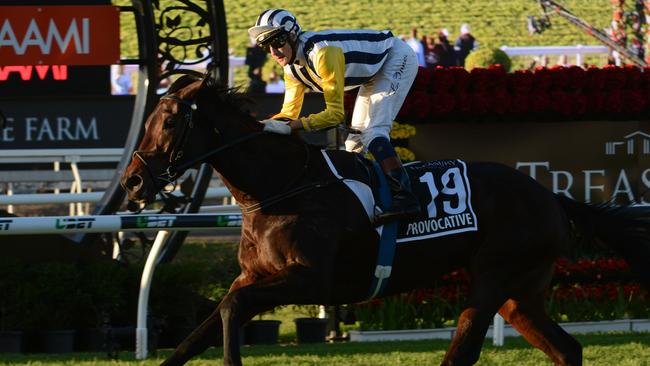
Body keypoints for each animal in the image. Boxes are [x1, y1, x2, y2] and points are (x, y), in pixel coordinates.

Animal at [119, 75, 648, 366]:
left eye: (170, 121)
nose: (132, 182)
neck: (281, 187)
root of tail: (551, 196)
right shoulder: (253, 278)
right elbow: (197, 334)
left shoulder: (311, 280)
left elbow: (228, 313)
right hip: (521, 293)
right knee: (567, 349)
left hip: (494, 278)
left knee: (463, 350)